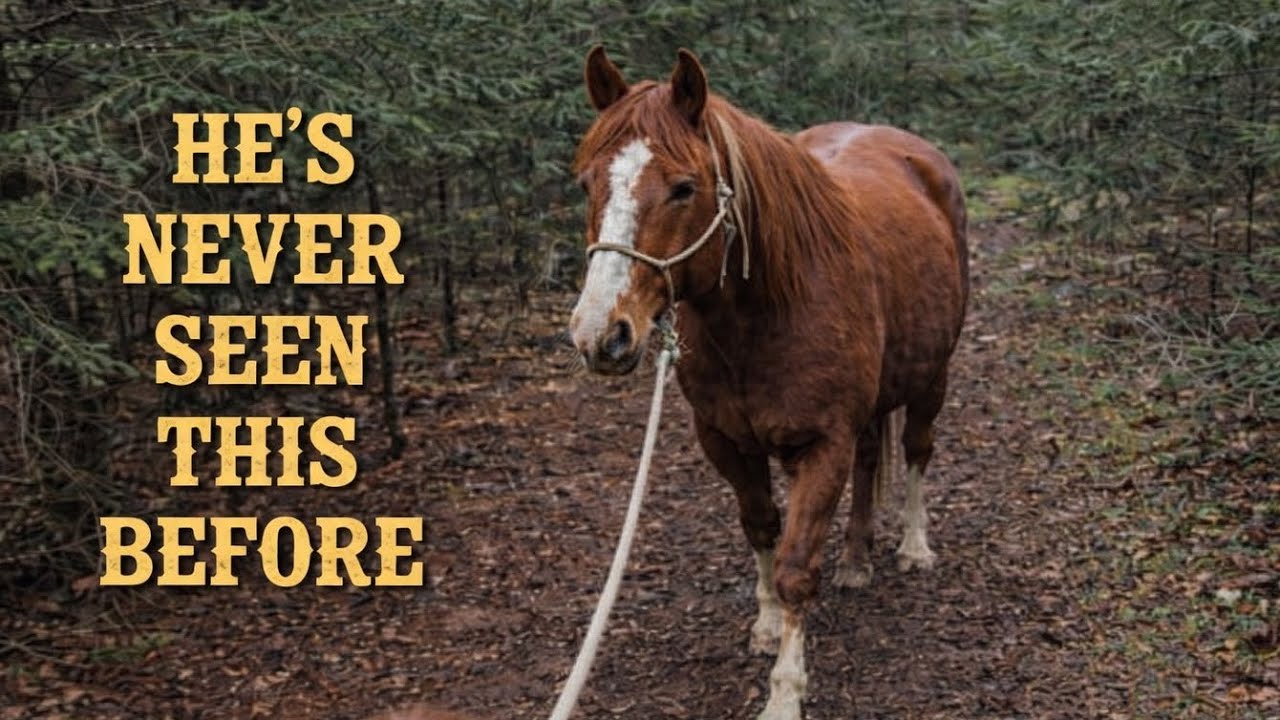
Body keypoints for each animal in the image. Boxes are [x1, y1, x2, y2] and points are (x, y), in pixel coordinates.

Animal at [568, 46, 969, 720]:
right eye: (586, 183)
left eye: (684, 188)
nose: (602, 333)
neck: (769, 312)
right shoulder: (726, 441)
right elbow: (760, 528)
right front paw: (767, 625)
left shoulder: (822, 445)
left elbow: (795, 567)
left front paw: (785, 693)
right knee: (870, 459)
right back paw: (856, 559)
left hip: (930, 377)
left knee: (917, 449)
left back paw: (914, 548)